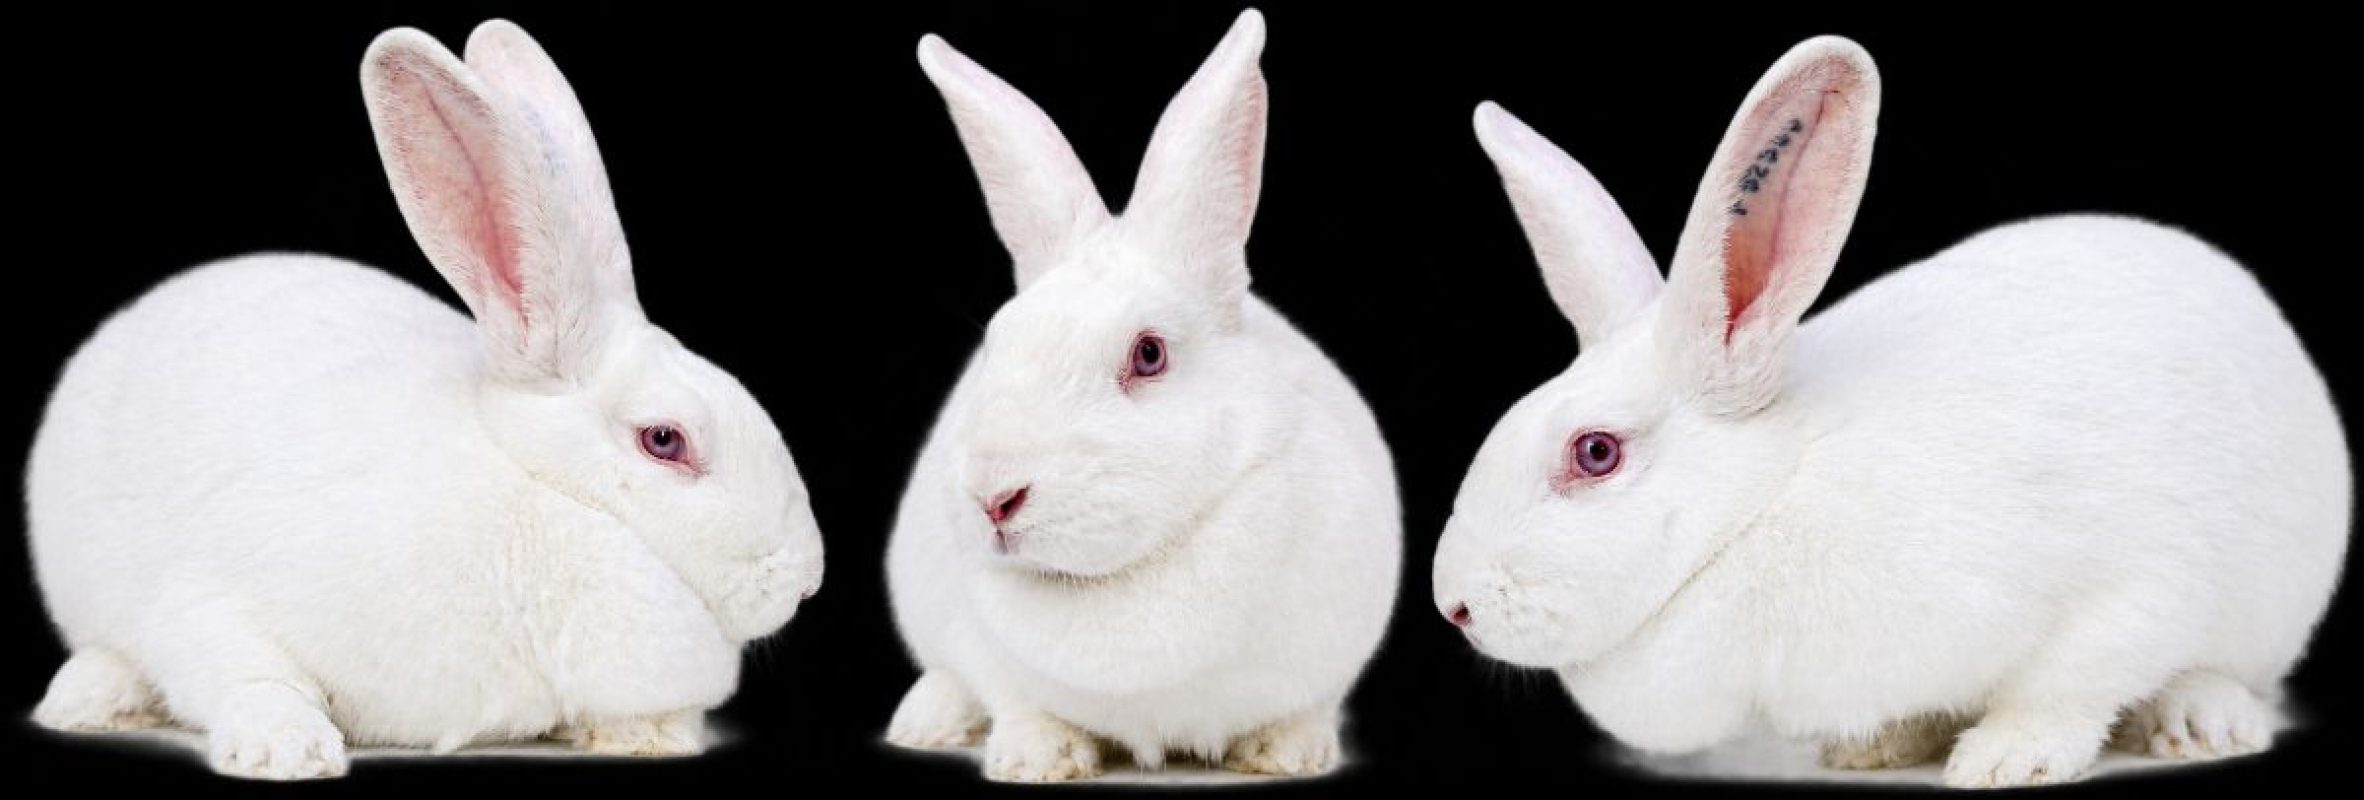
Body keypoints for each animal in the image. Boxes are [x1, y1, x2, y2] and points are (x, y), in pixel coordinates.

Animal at [23, 20, 825, 780]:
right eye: (664, 440)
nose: (806, 579)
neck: (554, 495)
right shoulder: (213, 604)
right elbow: (248, 674)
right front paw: (288, 751)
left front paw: (649, 738)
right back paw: (88, 699)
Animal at [880, 10, 1401, 783]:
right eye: (998, 340)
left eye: (1148, 355)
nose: (994, 497)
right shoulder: (986, 649)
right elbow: (1019, 701)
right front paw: (1036, 759)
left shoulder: (1331, 647)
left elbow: (1302, 708)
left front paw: (1285, 753)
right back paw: (925, 723)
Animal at [1430, 34, 2349, 789]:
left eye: (1595, 453)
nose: (1452, 605)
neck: (1762, 506)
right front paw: (1880, 743)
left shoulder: (2125, 592)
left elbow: (2070, 683)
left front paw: (2007, 758)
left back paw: (2202, 721)